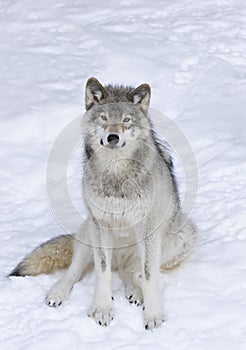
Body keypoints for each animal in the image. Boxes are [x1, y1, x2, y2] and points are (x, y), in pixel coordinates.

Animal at [9, 77, 197, 330]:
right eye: (104, 118)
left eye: (126, 120)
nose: (113, 137)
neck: (116, 173)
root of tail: (122, 260)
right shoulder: (100, 225)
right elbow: (102, 271)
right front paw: (102, 309)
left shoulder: (147, 229)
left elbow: (149, 276)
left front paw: (153, 314)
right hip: (88, 230)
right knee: (75, 271)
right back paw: (57, 293)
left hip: (181, 237)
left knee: (135, 272)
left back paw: (136, 293)